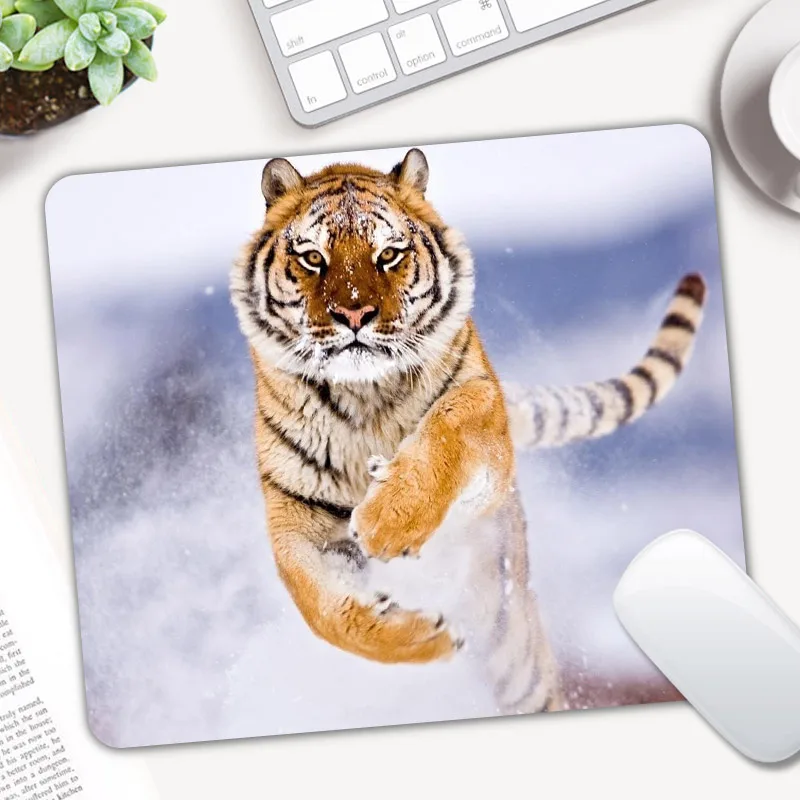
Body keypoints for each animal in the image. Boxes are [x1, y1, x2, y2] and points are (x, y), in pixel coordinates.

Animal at [230, 148, 707, 715]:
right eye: (312, 258)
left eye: (388, 255)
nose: (354, 313)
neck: (364, 397)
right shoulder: (297, 516)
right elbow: (322, 609)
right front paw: (421, 637)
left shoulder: (484, 418)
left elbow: (450, 424)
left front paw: (388, 521)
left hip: (515, 655)